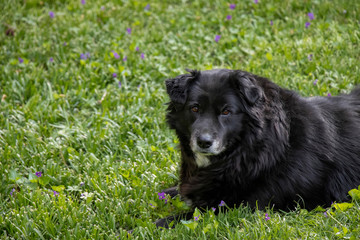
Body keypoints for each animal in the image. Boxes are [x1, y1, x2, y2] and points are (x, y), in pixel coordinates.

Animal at [158, 69, 360, 227]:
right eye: (195, 108)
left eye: (226, 111)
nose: (204, 142)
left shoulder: (240, 207)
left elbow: (189, 215)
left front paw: (159, 222)